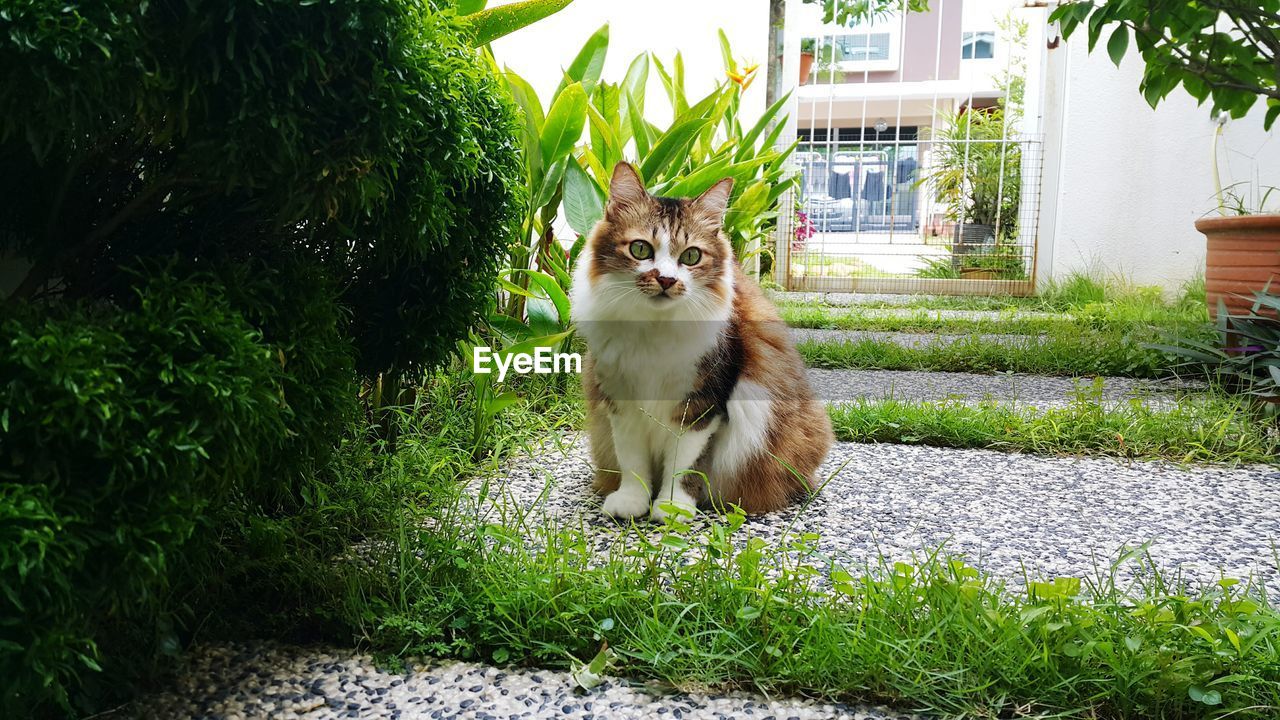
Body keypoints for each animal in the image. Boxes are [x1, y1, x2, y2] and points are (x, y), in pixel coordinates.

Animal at [573, 161, 834, 520]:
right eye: (640, 249)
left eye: (691, 256)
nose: (666, 280)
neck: (654, 329)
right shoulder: (620, 397)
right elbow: (632, 460)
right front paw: (632, 501)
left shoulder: (701, 405)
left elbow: (684, 464)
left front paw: (671, 506)